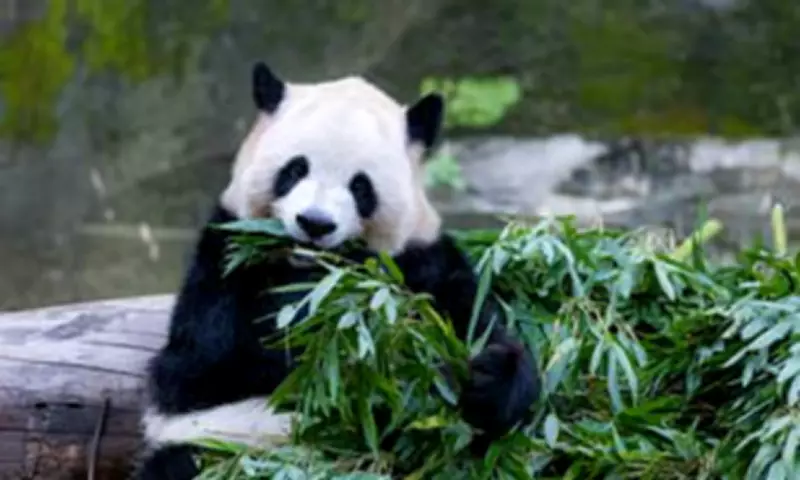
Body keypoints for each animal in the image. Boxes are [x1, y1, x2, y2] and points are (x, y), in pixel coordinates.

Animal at [135, 61, 541, 479]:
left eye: (361, 186)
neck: (313, 267)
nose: (315, 223)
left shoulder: (423, 263)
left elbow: (477, 324)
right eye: (295, 170)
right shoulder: (225, 260)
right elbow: (213, 365)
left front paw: (486, 378)